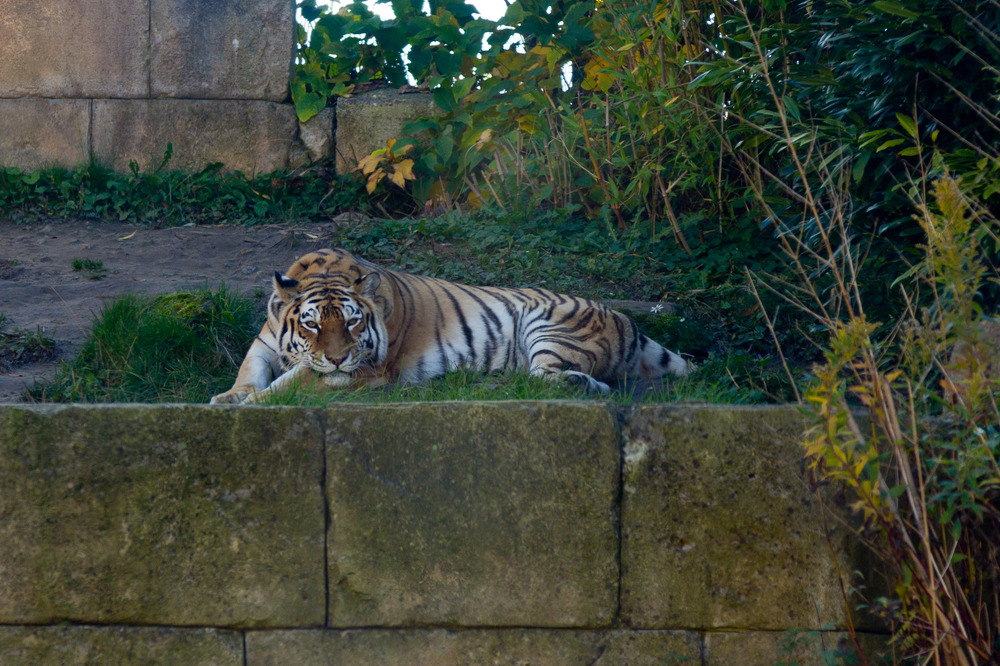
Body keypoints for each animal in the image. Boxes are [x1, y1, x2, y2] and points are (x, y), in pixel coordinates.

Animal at [209, 248, 696, 404]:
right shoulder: (264, 341)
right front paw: (231, 395)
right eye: (311, 326)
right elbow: (250, 368)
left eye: (352, 322)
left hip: (548, 327)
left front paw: (251, 403)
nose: (338, 357)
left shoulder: (363, 369)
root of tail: (627, 319)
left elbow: (292, 383)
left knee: (548, 379)